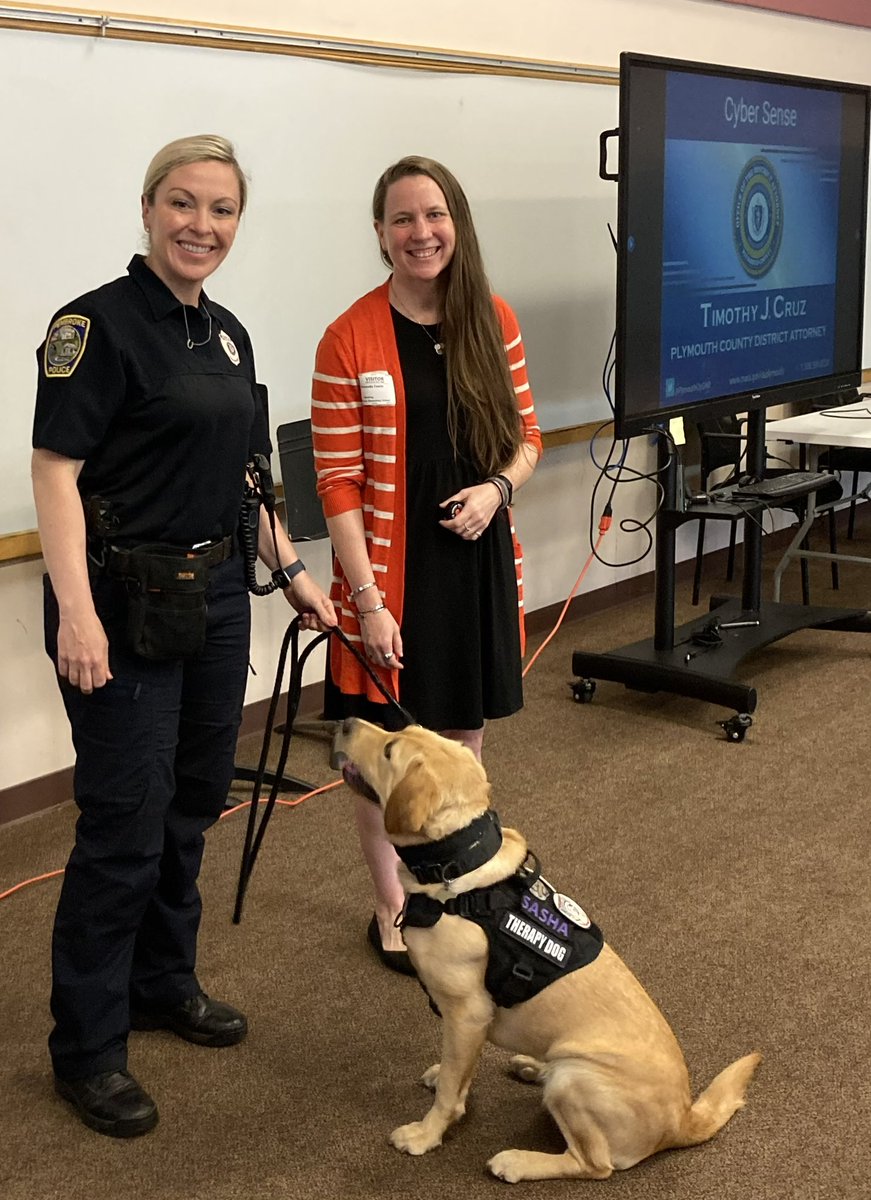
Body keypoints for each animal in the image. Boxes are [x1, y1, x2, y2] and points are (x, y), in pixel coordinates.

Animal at [335, 715, 763, 1185]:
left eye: (389, 750)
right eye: (403, 730)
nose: (345, 721)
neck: (456, 868)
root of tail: (683, 1119)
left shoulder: (467, 1014)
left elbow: (450, 1092)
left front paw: (426, 1135)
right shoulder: (470, 1026)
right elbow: (458, 1074)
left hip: (576, 1079)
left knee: (594, 1164)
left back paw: (518, 1160)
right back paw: (531, 1067)